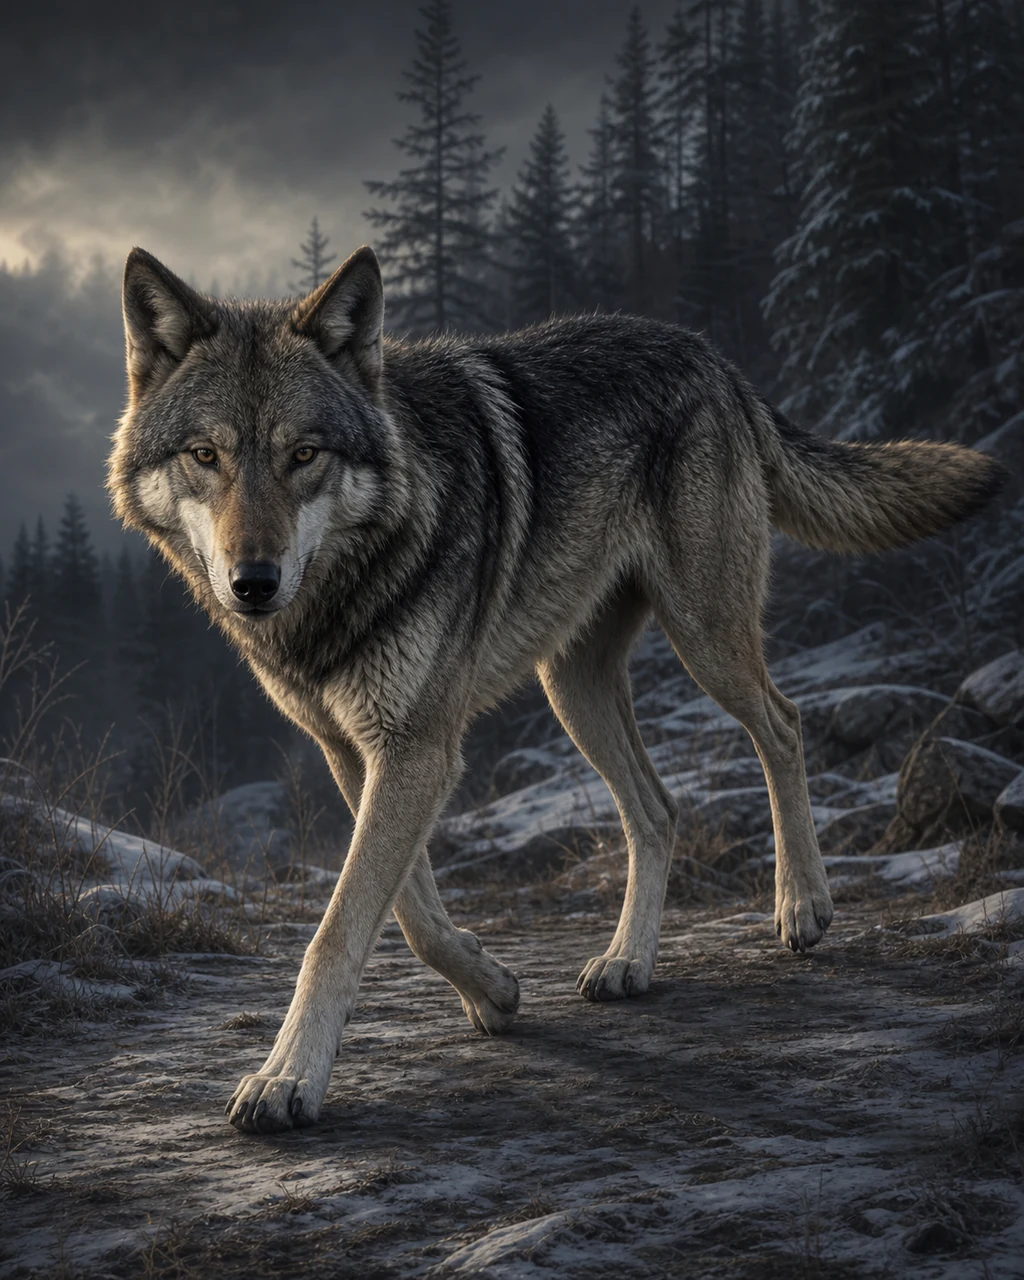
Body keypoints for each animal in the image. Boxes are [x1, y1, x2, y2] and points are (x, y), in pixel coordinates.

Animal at [109, 244, 1004, 1134]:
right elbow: (411, 912)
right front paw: (493, 989)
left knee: (781, 727)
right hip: (572, 688)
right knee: (658, 809)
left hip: (703, 639)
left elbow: (339, 930)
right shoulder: (356, 751)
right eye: (206, 456)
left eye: (304, 454)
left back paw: (802, 906)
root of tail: (711, 356)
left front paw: (288, 1077)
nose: (252, 583)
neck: (346, 588)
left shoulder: (418, 747)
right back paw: (627, 962)